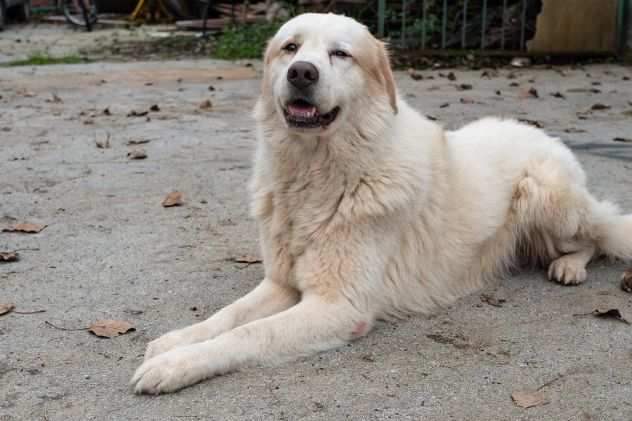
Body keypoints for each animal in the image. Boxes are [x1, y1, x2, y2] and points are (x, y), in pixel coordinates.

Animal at [130, 13, 632, 394]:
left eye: (340, 54)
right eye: (290, 48)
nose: (302, 73)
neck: (316, 174)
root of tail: (541, 132)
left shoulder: (338, 307)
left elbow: (251, 331)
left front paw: (175, 366)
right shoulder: (281, 283)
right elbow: (229, 315)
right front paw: (176, 341)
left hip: (547, 198)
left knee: (600, 232)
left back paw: (570, 266)